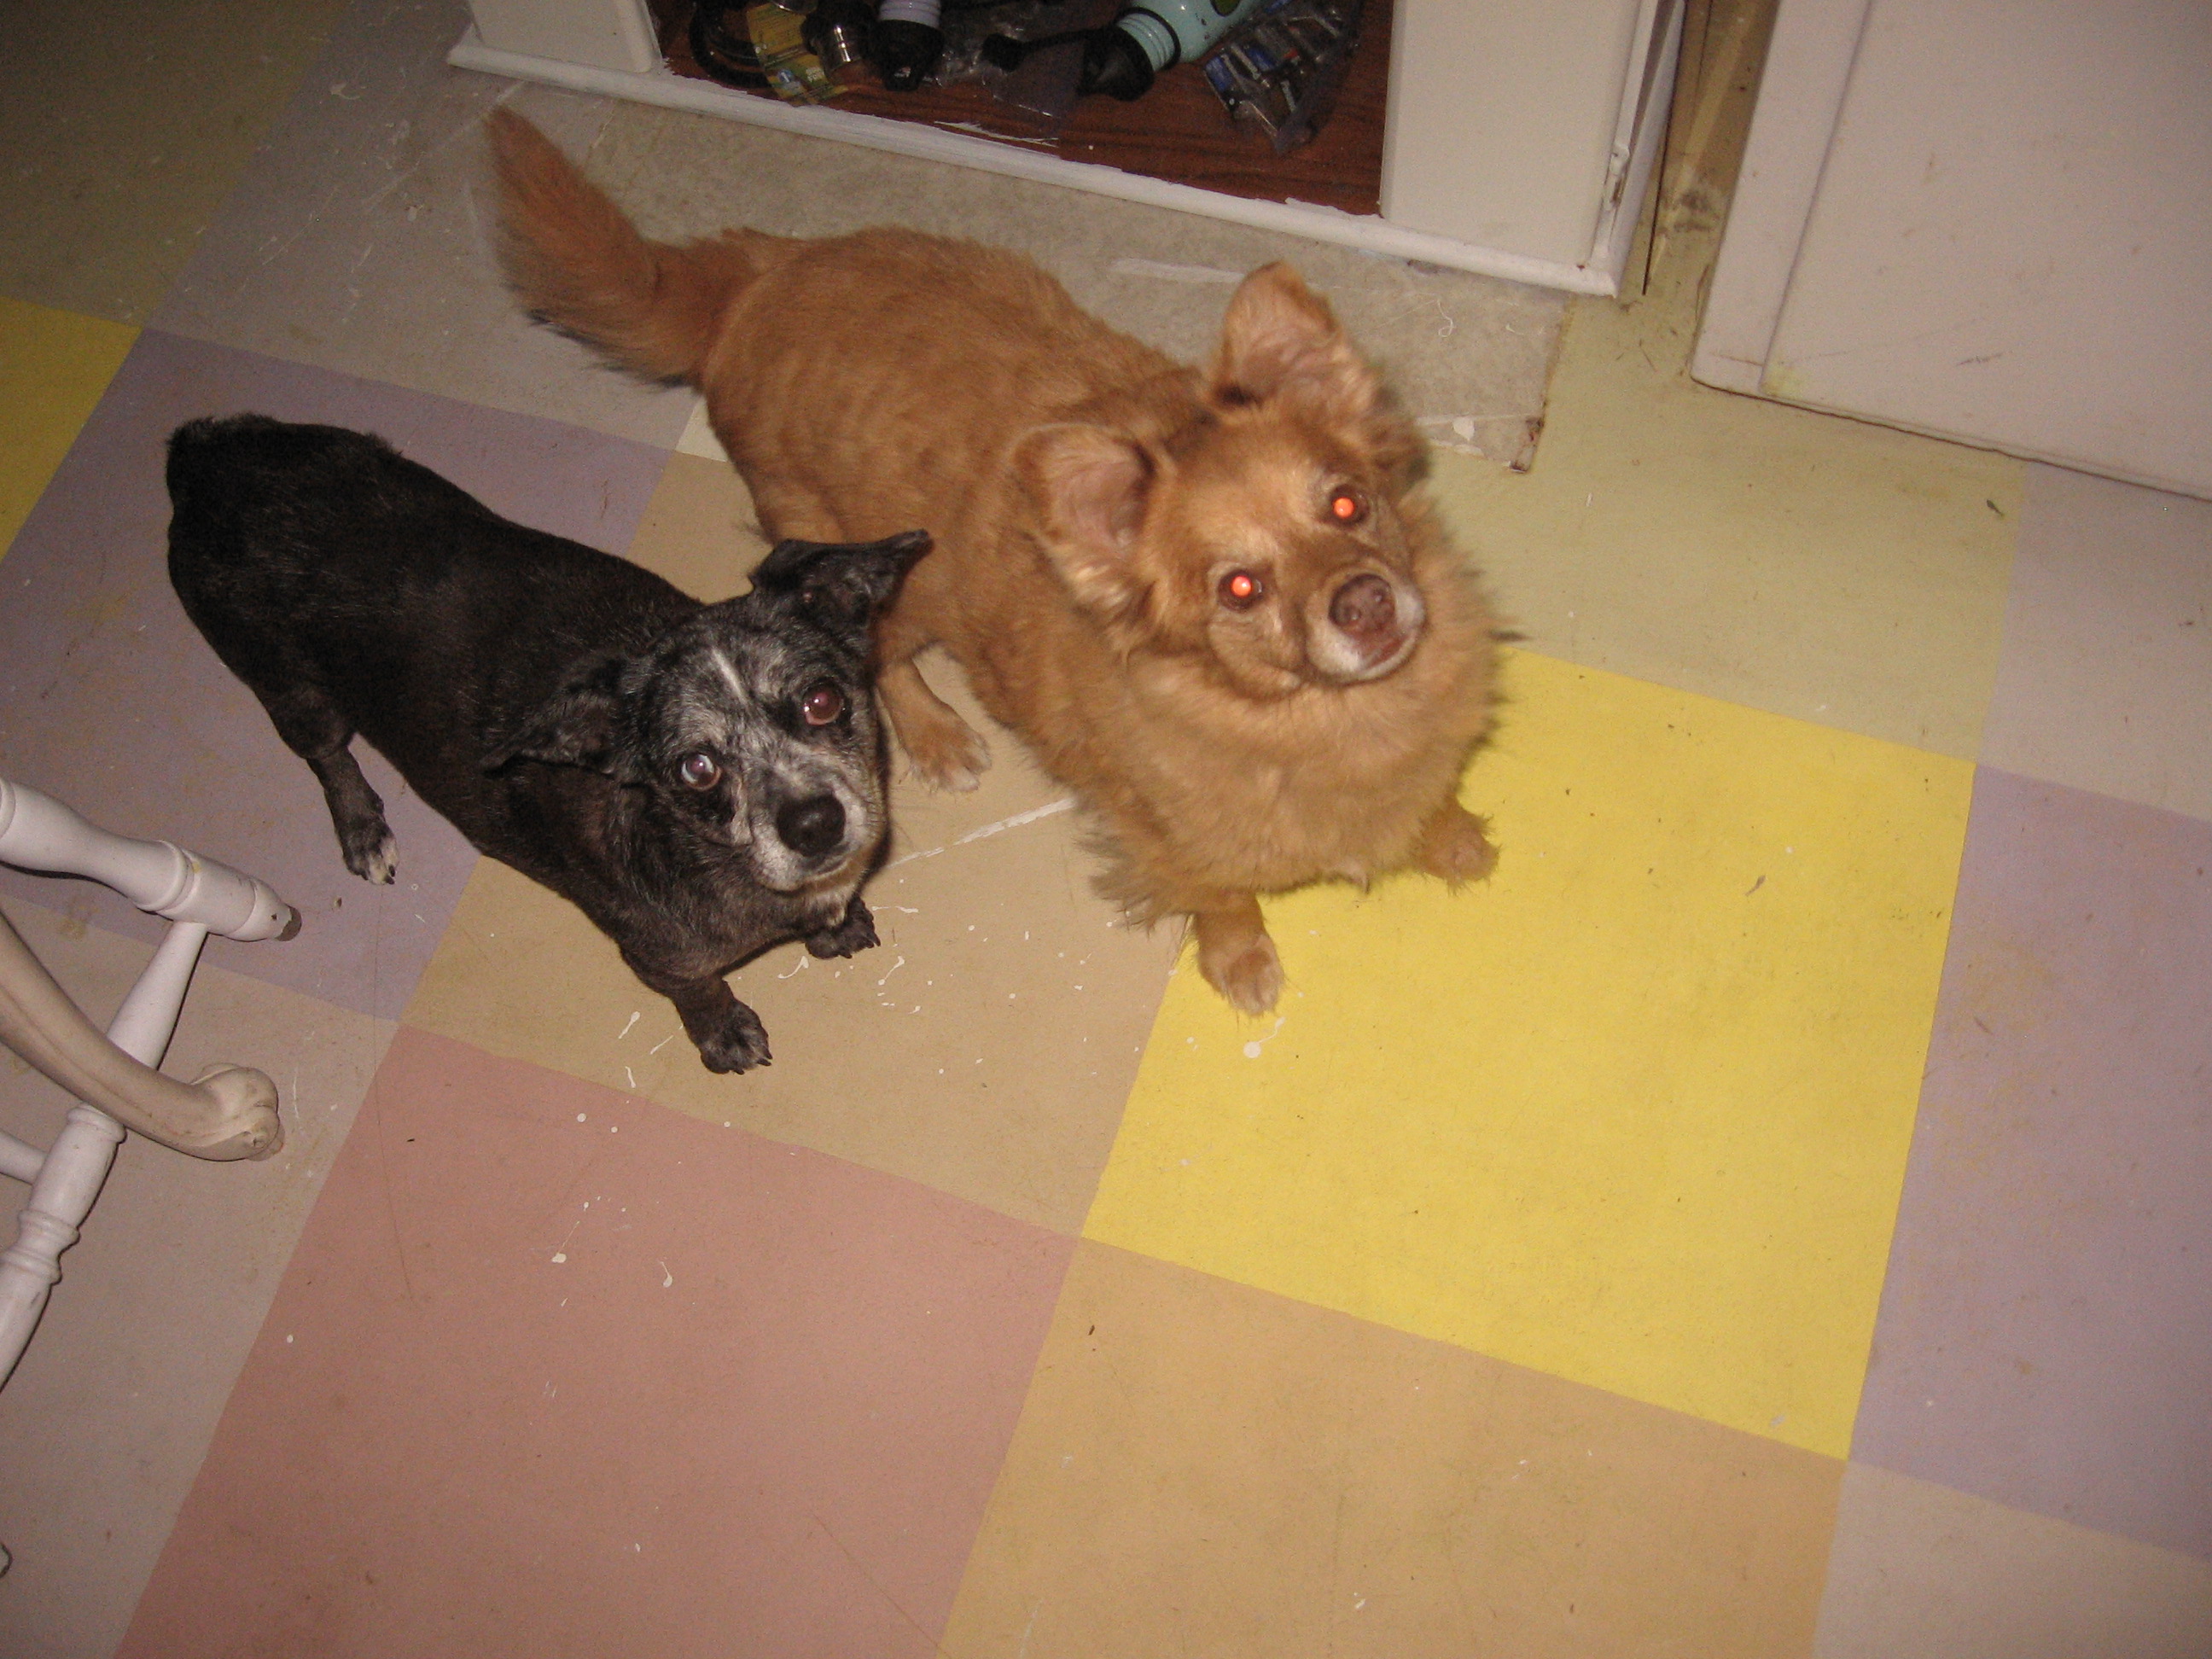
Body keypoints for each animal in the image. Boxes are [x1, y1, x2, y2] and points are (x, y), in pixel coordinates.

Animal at [166, 414, 930, 1071]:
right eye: (697, 769)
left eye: (822, 700)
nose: (813, 823)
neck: (700, 851)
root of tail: (204, 456)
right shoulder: (660, 958)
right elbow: (700, 991)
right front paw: (723, 1033)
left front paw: (835, 927)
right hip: (291, 688)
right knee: (326, 755)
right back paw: (362, 828)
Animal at [489, 109, 1500, 1015]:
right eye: (1240, 589)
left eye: (1348, 504)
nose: (1366, 604)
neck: (1327, 720)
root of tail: (757, 279)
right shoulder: (1160, 836)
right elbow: (1218, 896)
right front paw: (1241, 961)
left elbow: (1431, 807)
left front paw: (1452, 841)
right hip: (876, 580)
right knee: (883, 665)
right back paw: (938, 736)